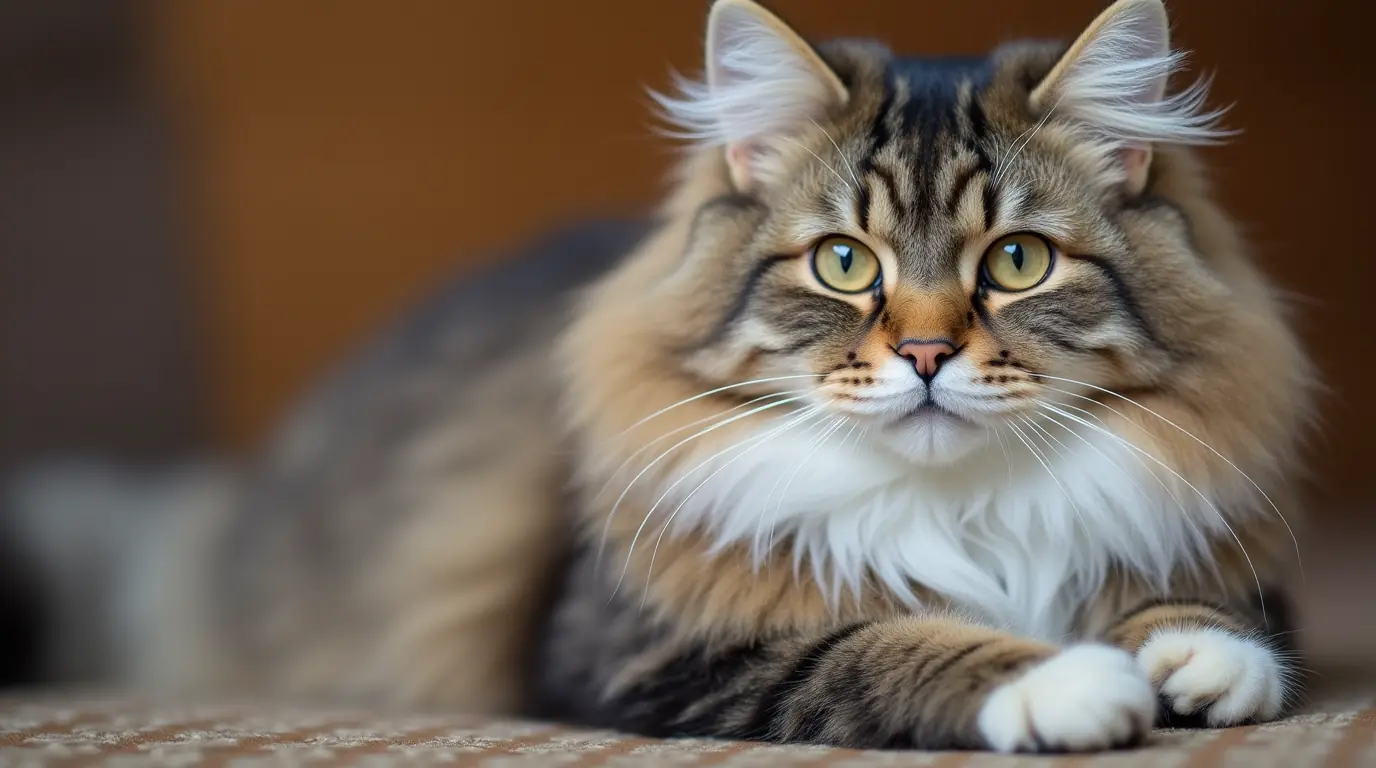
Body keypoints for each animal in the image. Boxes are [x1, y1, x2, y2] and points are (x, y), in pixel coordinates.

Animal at [2, 0, 1309, 759]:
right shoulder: (649, 648)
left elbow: (1219, 613)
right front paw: (1069, 682)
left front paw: (1192, 661)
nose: (927, 355)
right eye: (844, 263)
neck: (959, 506)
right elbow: (891, 641)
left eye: (1016, 263)